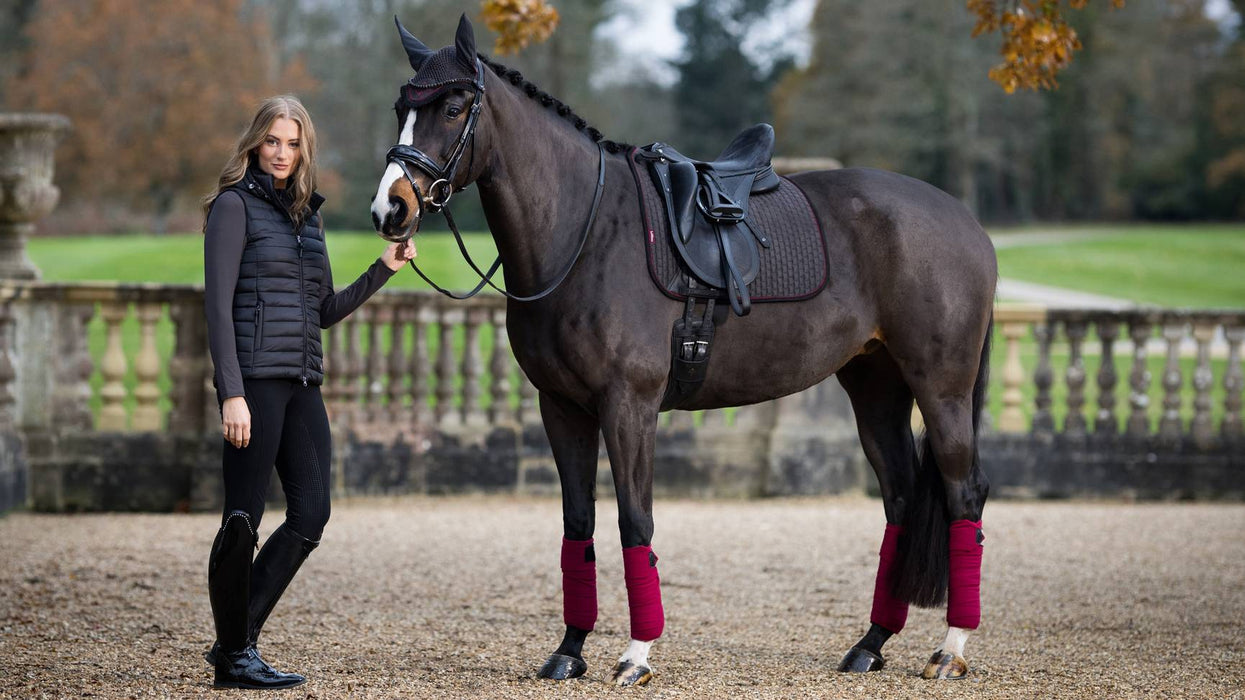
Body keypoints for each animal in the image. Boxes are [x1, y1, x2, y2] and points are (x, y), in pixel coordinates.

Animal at [366, 13, 991, 682]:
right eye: (401, 107)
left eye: (454, 107)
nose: (390, 208)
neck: (584, 235)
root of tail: (966, 222)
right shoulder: (561, 408)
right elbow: (578, 523)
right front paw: (569, 650)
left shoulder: (629, 406)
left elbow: (634, 519)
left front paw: (636, 654)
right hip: (876, 388)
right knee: (901, 499)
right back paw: (871, 643)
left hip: (941, 389)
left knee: (963, 495)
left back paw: (950, 649)